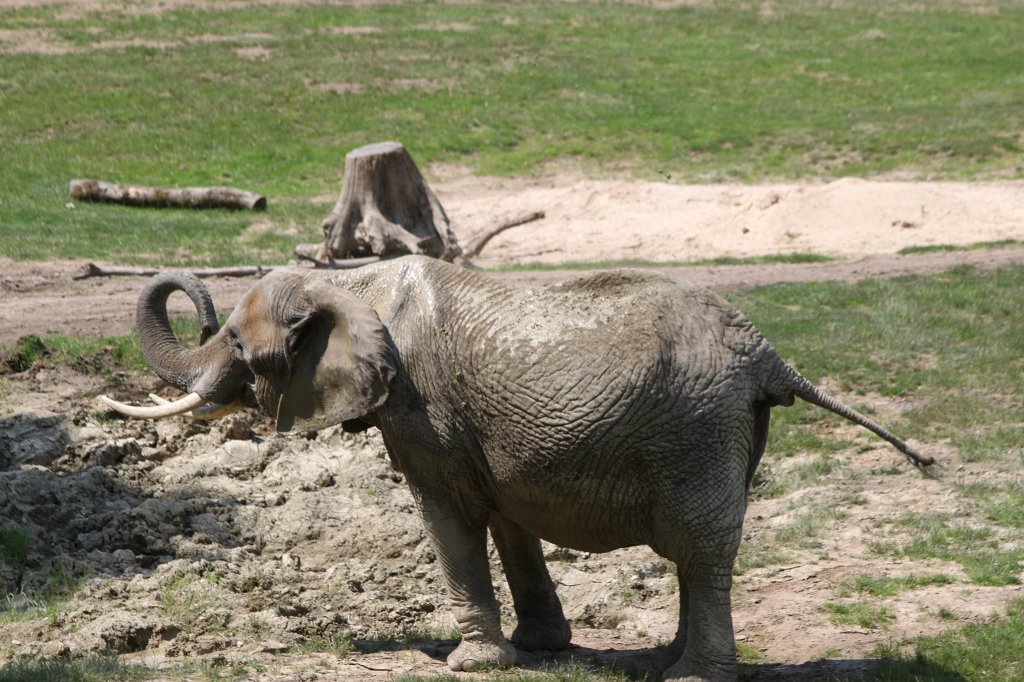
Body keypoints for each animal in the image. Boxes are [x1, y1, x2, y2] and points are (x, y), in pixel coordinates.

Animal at [100, 256, 933, 681]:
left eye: (239, 347)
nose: (204, 311)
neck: (353, 281)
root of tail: (768, 354)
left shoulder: (421, 407)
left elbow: (447, 514)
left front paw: (469, 662)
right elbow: (504, 513)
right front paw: (539, 650)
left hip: (695, 425)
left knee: (698, 544)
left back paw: (691, 676)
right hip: (726, 425)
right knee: (698, 552)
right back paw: (669, 659)